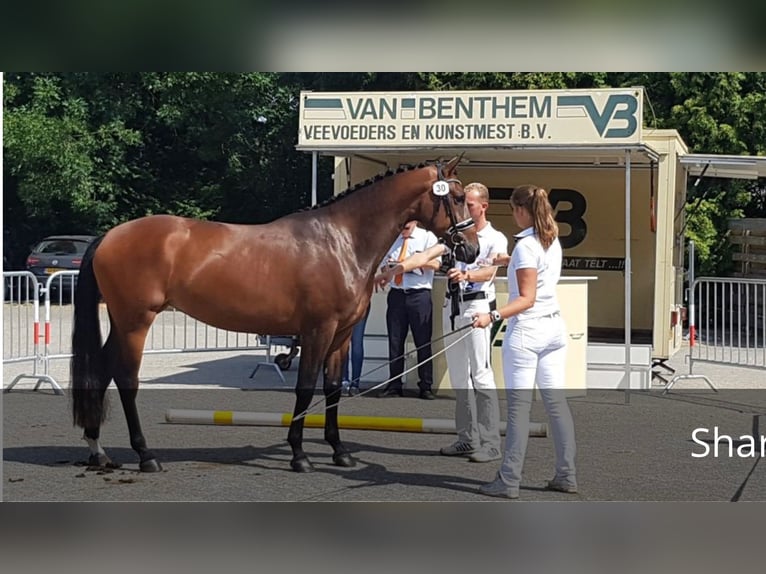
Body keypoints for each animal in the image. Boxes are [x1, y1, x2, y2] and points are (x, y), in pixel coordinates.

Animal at [71, 156, 479, 473]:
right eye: (458, 198)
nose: (471, 250)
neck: (341, 241)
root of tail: (108, 236)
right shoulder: (317, 331)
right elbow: (305, 389)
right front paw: (299, 456)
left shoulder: (342, 335)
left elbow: (332, 388)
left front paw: (339, 452)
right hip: (135, 321)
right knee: (125, 379)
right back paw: (145, 455)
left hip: (123, 322)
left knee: (102, 371)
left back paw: (97, 450)